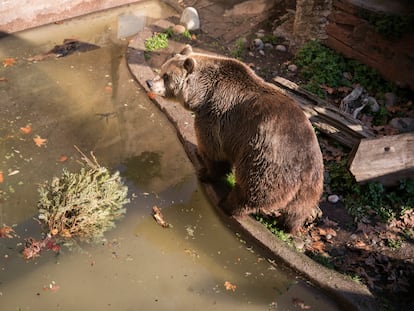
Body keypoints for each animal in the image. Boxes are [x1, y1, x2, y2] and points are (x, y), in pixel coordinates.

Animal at [147, 45, 326, 233]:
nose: (149, 83)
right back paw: (290, 225)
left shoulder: (216, 117)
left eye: (166, 76)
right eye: (163, 69)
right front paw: (197, 152)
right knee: (298, 208)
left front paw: (205, 171)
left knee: (251, 190)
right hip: (313, 182)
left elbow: (214, 151)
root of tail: (305, 166)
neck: (202, 94)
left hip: (266, 160)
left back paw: (228, 204)